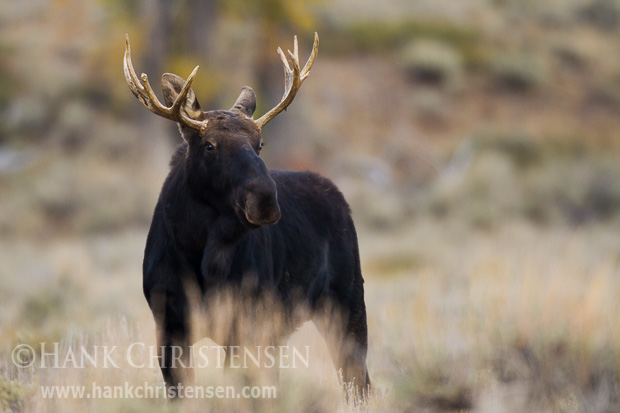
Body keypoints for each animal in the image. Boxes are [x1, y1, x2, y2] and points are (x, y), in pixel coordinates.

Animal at [123, 31, 370, 396]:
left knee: (358, 381)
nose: (265, 200)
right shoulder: (169, 323)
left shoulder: (246, 322)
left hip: (345, 300)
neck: (199, 251)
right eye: (209, 145)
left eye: (260, 144)